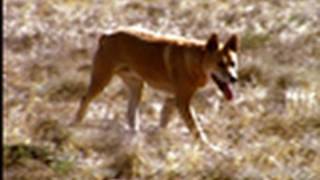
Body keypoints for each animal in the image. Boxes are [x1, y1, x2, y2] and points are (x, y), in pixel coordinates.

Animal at [74, 27, 239, 143]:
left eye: (232, 63)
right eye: (220, 64)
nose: (234, 78)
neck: (197, 60)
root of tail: (107, 36)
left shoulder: (175, 98)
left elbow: (165, 117)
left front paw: (159, 134)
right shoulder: (182, 101)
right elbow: (196, 129)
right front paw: (209, 147)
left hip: (137, 87)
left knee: (131, 113)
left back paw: (135, 136)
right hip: (102, 81)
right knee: (84, 99)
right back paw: (76, 124)